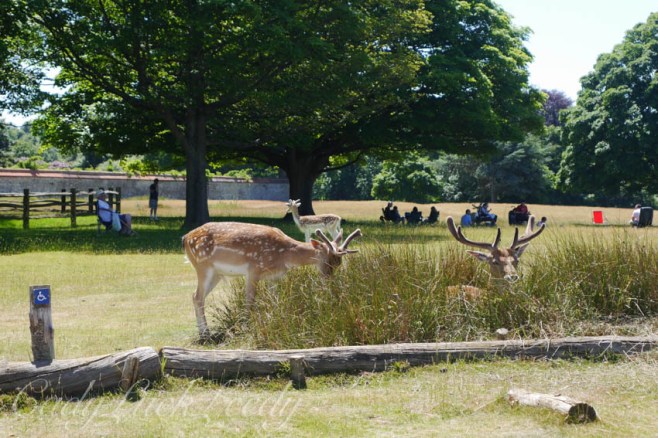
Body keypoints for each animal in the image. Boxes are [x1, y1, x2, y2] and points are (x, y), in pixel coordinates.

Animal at [182, 221, 362, 338]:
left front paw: (275, 324)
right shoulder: (253, 269)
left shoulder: (274, 277)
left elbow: (275, 301)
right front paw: (246, 329)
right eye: (327, 261)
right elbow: (250, 300)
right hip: (203, 266)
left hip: (216, 274)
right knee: (198, 297)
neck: (284, 256)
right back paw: (205, 335)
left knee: (195, 296)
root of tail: (185, 238)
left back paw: (204, 333)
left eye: (339, 263)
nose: (328, 282)